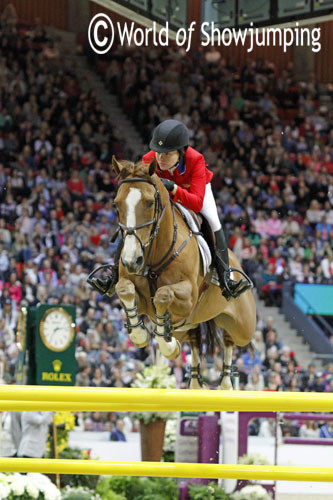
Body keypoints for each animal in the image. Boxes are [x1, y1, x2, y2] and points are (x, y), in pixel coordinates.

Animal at [107, 158, 254, 388]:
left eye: (149, 203)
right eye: (116, 204)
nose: (132, 261)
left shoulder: (189, 297)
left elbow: (163, 294)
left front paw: (166, 344)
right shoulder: (134, 291)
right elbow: (125, 289)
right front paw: (143, 336)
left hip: (243, 327)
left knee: (230, 339)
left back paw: (226, 381)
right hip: (187, 326)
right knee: (194, 340)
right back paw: (195, 381)